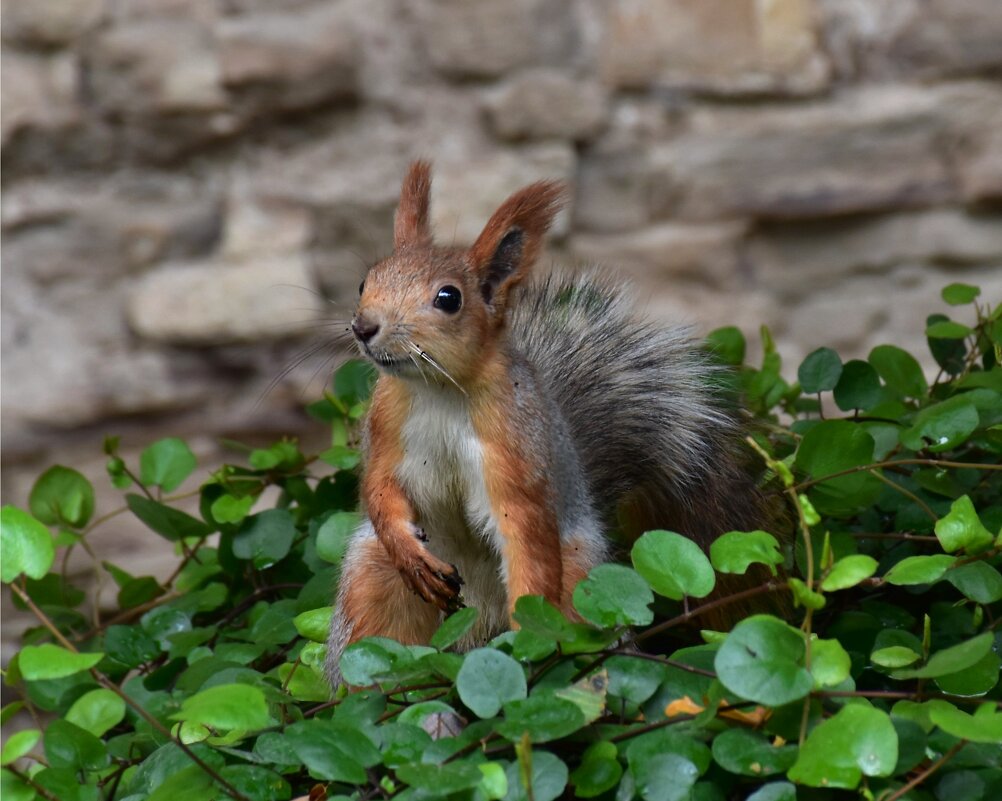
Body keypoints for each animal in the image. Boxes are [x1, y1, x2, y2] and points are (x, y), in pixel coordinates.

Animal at [324, 162, 761, 689]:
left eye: (449, 298)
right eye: (364, 282)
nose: (364, 327)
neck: (438, 390)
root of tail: (477, 628)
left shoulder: (514, 445)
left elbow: (523, 530)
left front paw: (527, 633)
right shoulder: (387, 424)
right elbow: (379, 487)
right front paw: (409, 551)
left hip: (581, 585)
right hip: (371, 583)